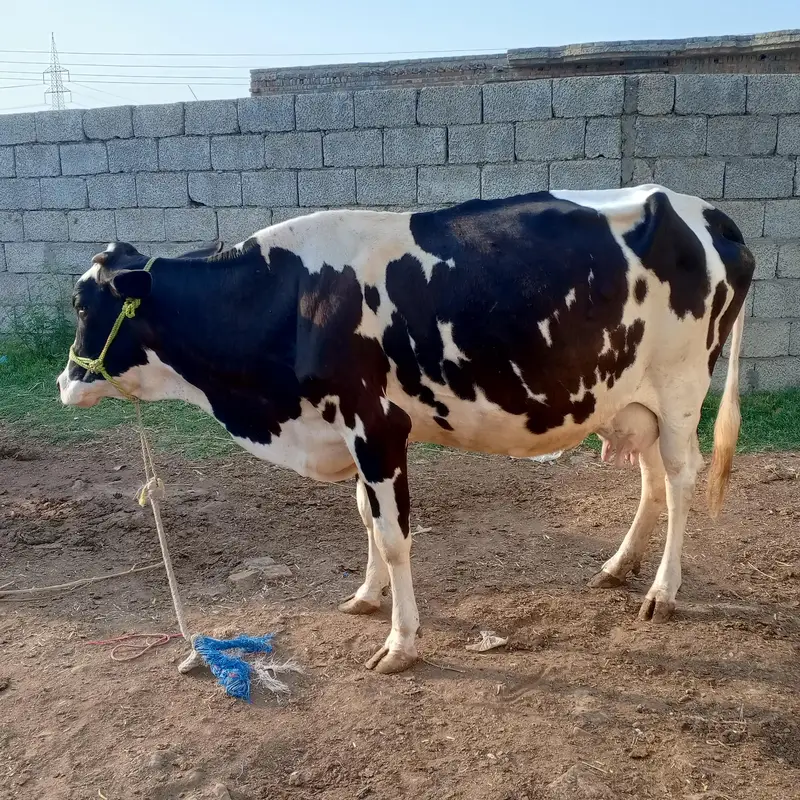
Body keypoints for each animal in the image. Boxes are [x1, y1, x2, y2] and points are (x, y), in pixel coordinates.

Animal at [57, 184, 755, 675]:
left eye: (82, 303)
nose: (65, 382)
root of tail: (704, 212)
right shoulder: (348, 430)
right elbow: (367, 518)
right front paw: (366, 596)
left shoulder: (376, 426)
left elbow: (394, 536)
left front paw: (400, 641)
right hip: (631, 399)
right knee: (651, 483)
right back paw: (617, 566)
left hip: (681, 389)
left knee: (681, 482)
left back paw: (662, 592)